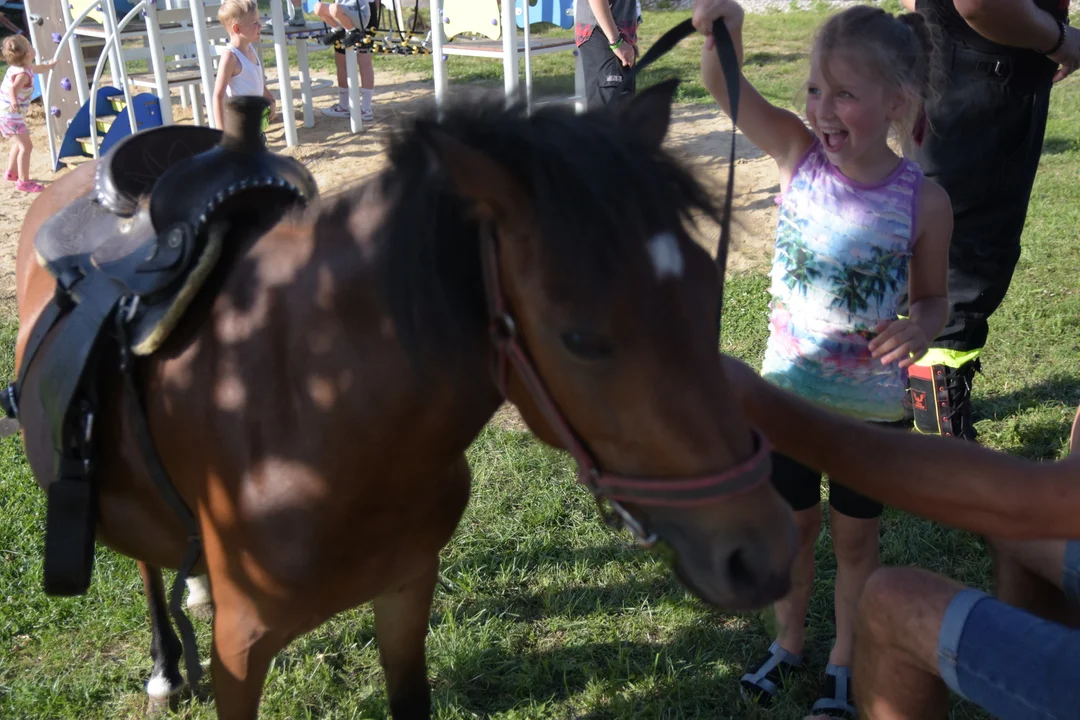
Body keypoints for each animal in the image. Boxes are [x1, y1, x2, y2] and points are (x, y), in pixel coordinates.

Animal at [12, 81, 799, 716]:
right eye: (579, 337)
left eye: (707, 286)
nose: (761, 553)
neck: (317, 418)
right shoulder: (241, 651)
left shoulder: (406, 594)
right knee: (145, 565)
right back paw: (165, 669)